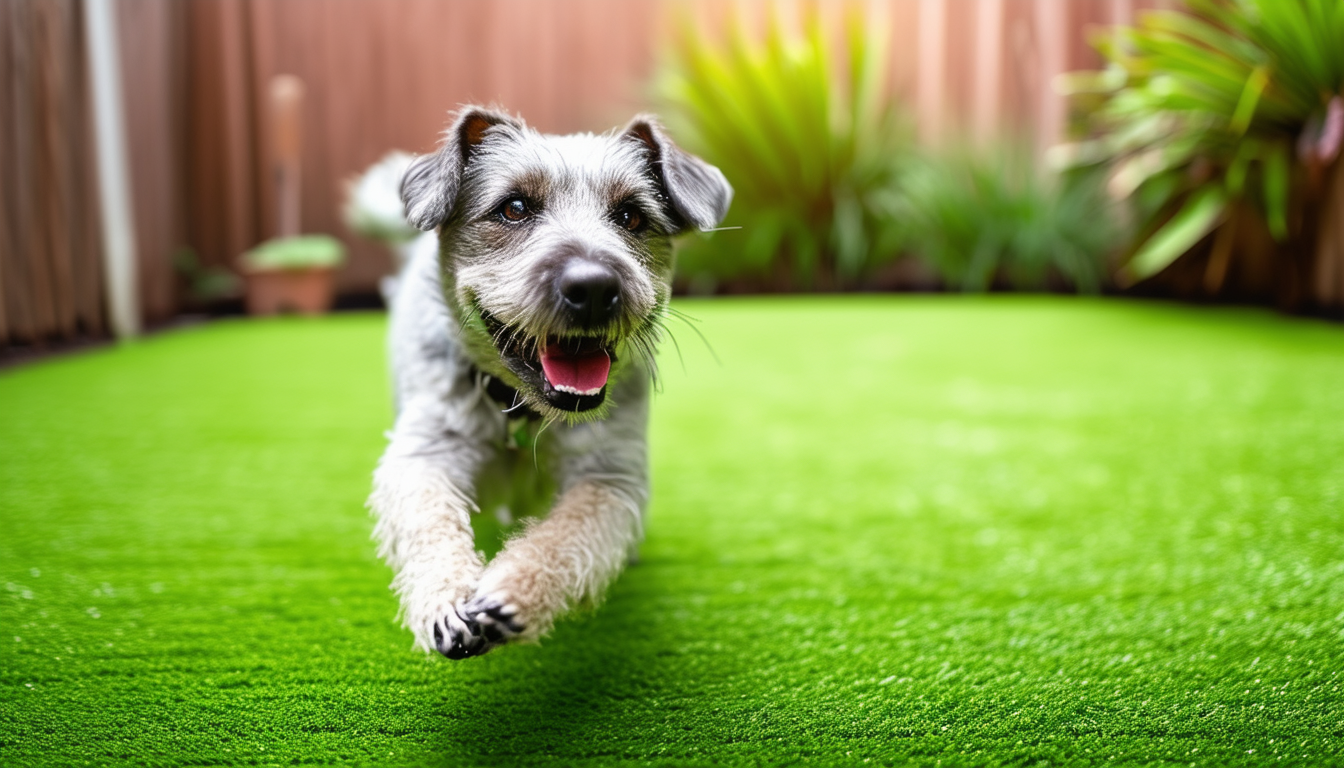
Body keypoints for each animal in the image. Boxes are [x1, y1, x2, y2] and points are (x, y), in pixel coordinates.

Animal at [360, 106, 736, 661]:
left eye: (631, 216)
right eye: (514, 208)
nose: (594, 287)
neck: (522, 414)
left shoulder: (610, 478)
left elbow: (569, 533)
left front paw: (513, 590)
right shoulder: (423, 456)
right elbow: (429, 521)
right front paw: (444, 597)